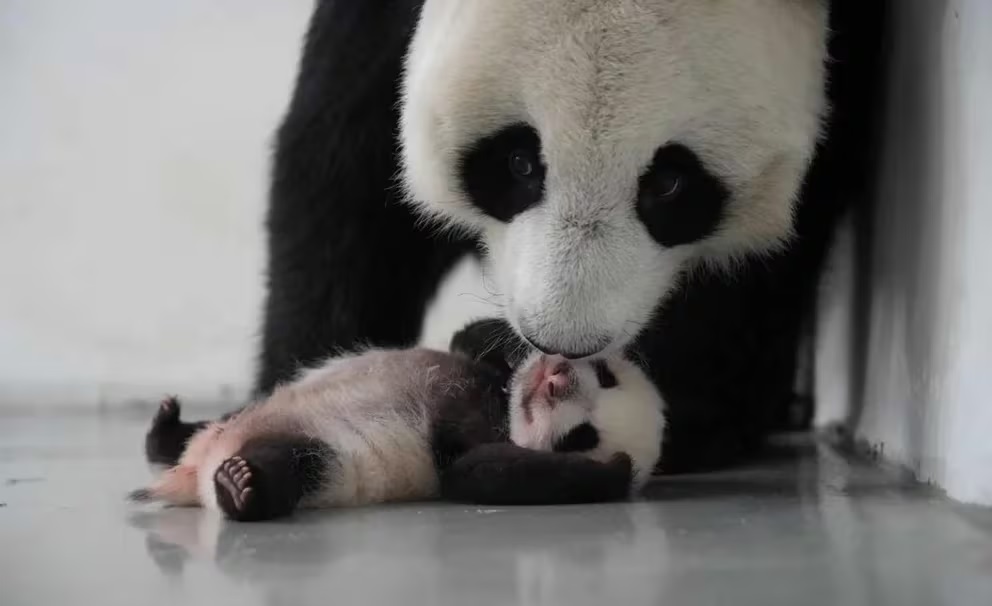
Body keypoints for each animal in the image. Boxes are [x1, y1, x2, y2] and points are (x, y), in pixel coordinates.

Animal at [255, 0, 890, 473]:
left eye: (669, 183)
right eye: (518, 163)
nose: (563, 341)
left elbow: (773, 253)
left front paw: (685, 412)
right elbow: (345, 168)